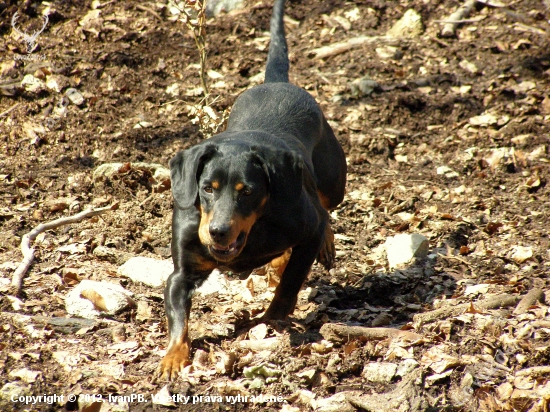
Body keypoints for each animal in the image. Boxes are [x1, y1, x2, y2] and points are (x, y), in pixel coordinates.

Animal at [160, 0, 348, 380]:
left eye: (247, 191)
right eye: (207, 188)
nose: (217, 232)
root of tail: (277, 83)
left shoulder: (304, 226)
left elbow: (291, 282)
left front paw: (271, 318)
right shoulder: (182, 272)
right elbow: (178, 317)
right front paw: (173, 357)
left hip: (332, 179)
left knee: (326, 207)